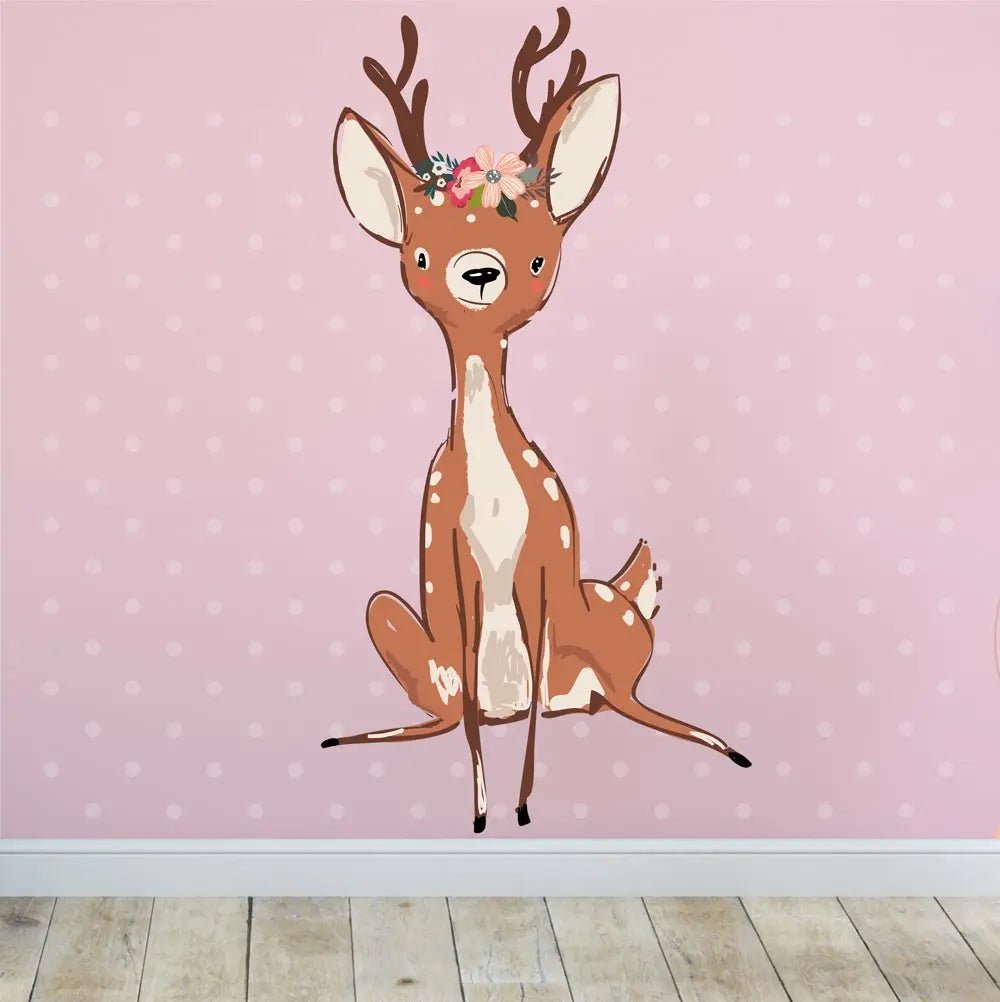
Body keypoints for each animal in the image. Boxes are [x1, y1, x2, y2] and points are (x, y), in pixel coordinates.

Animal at [322, 7, 752, 833]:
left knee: (615, 703)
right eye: (418, 256)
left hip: (603, 629)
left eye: (538, 257)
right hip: (395, 617)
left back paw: (714, 742)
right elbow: (466, 723)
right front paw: (482, 809)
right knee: (448, 710)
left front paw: (520, 807)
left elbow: (523, 725)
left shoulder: (548, 564)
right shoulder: (445, 559)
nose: (479, 270)